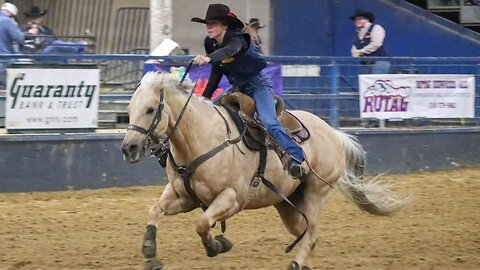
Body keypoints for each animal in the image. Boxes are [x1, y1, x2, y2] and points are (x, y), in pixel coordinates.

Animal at [122, 71, 410, 270]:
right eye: (129, 110)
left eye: (150, 109)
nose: (128, 148)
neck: (203, 138)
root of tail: (334, 133)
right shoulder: (184, 196)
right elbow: (155, 210)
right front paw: (150, 253)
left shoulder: (232, 198)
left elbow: (202, 223)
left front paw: (217, 245)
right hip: (288, 205)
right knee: (308, 235)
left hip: (316, 192)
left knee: (312, 233)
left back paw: (296, 263)